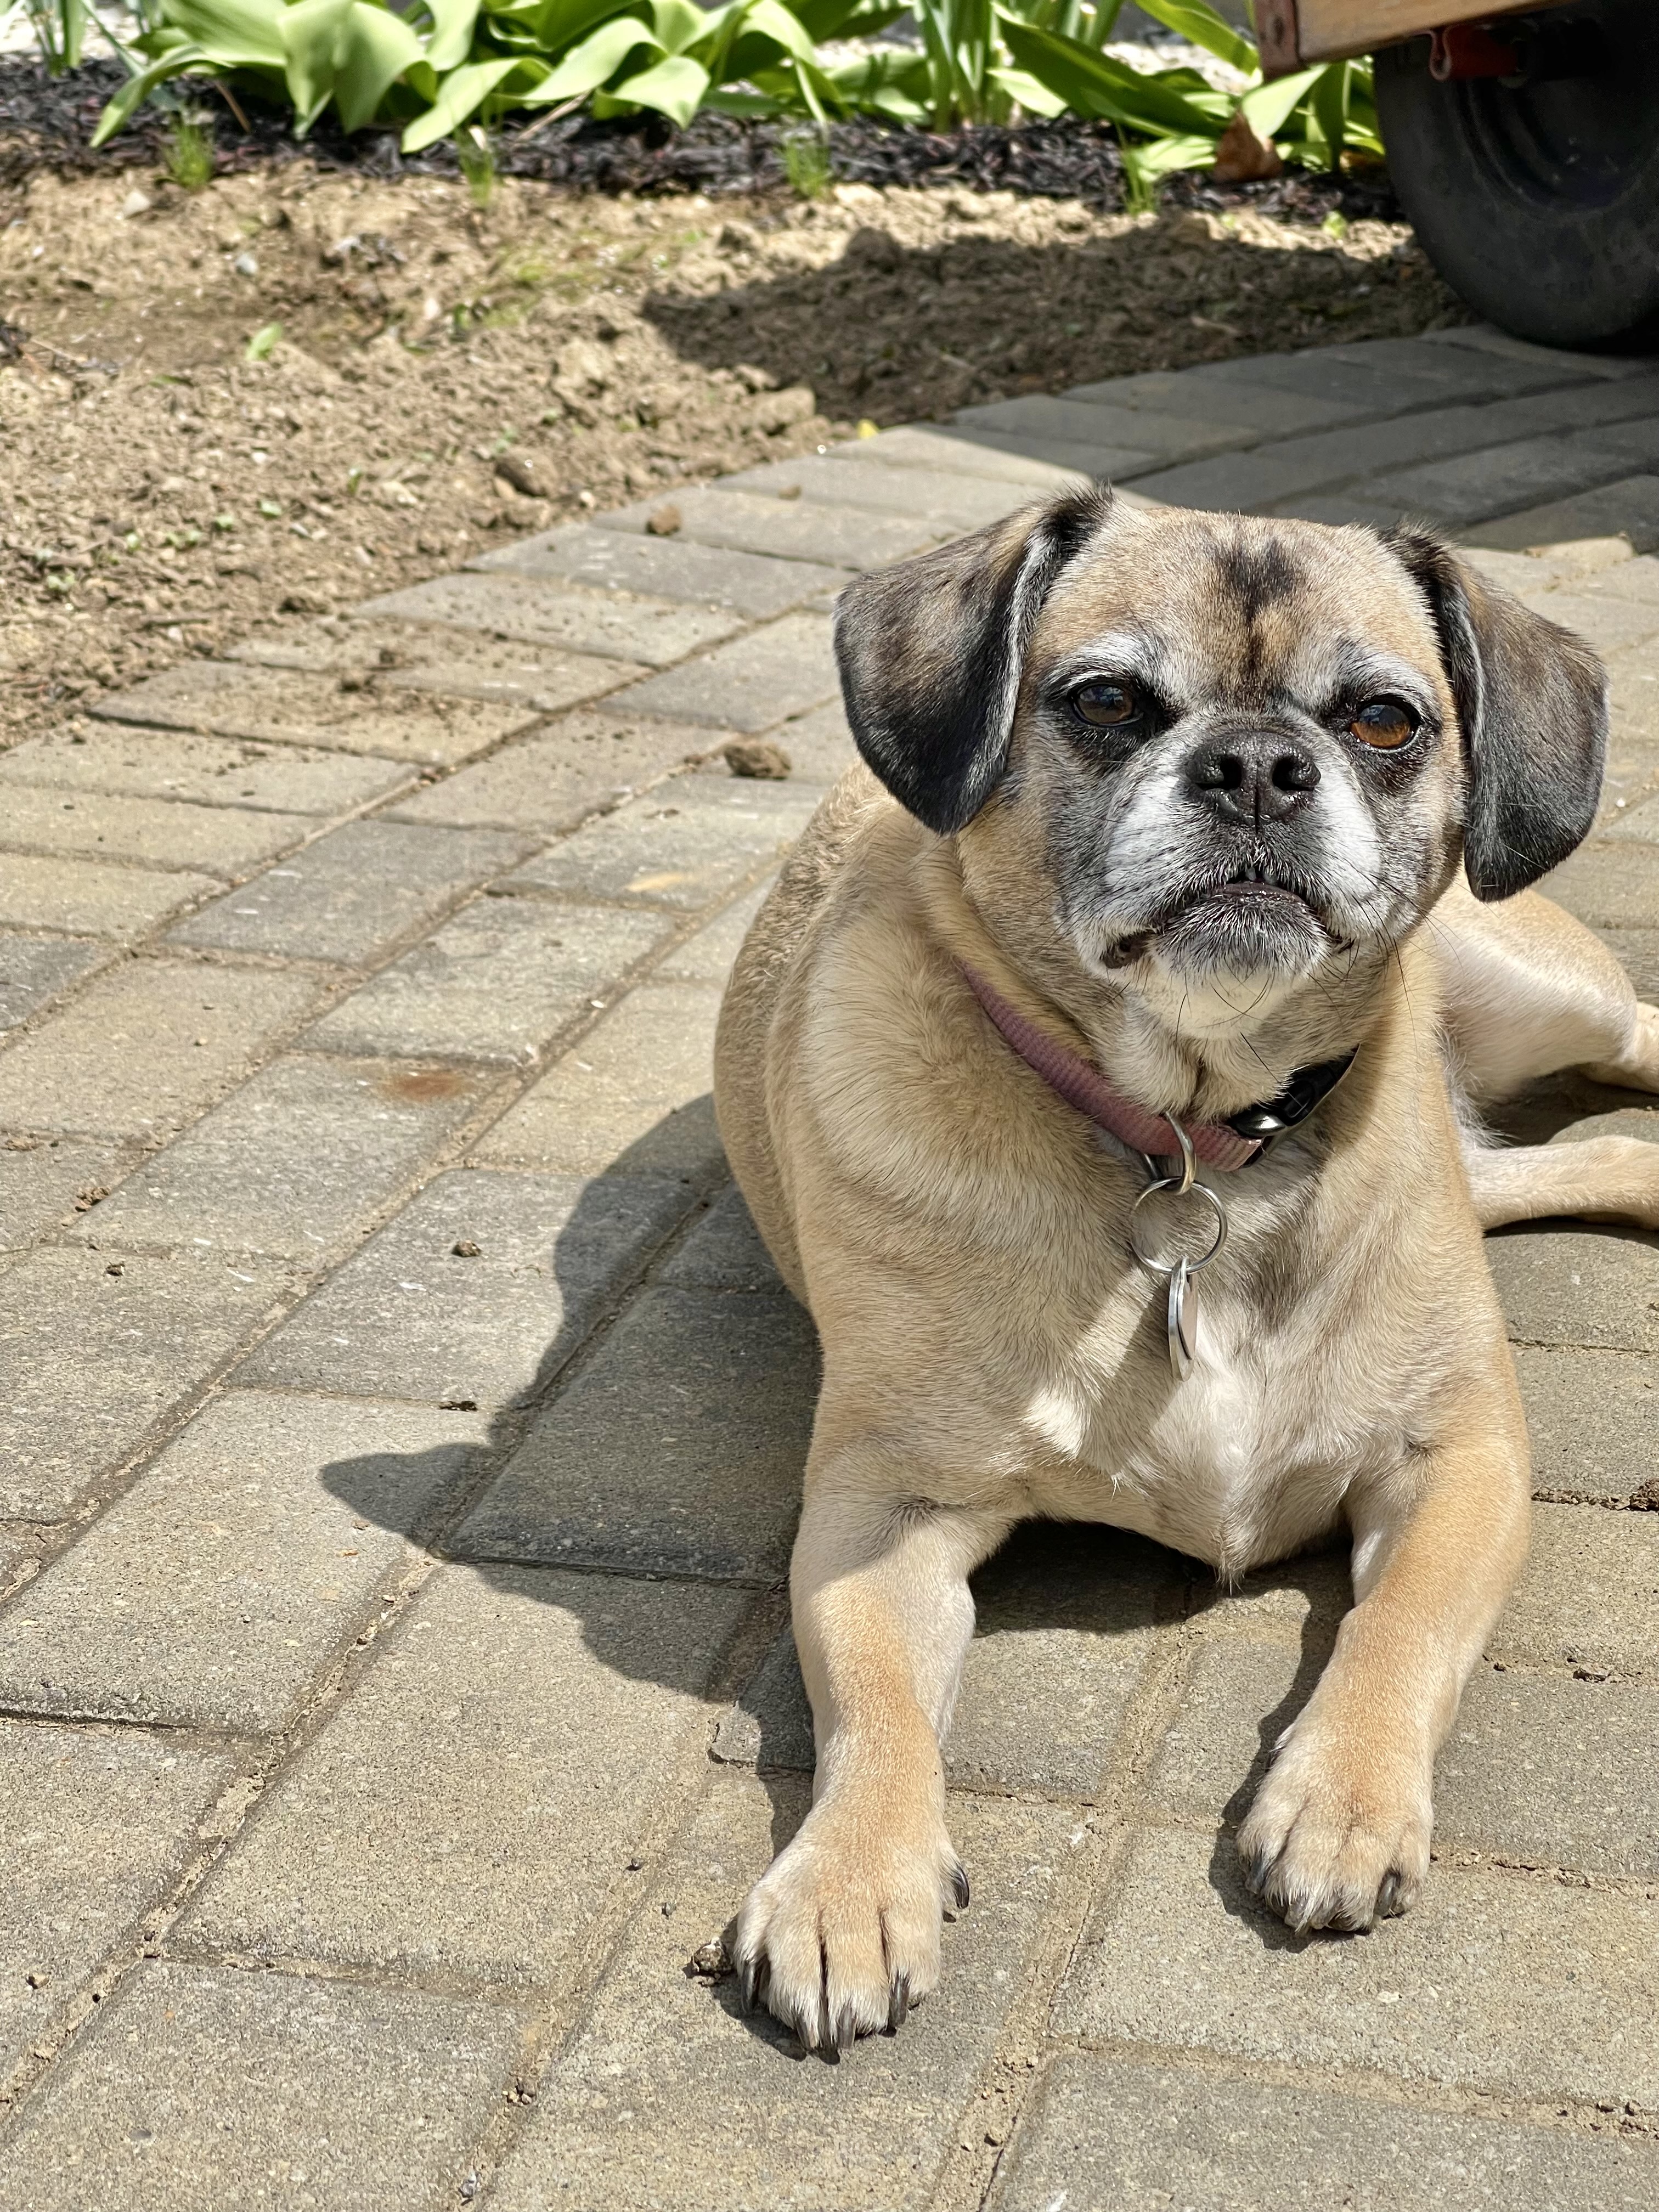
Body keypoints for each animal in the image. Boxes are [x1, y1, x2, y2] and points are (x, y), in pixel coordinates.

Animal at [712, 487, 1659, 2052]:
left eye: (1386, 721)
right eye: (1103, 702)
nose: (1260, 764)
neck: (1202, 1141)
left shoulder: (1460, 1459)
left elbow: (1399, 1628)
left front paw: (1340, 1795)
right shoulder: (878, 1512)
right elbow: (876, 1707)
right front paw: (849, 1878)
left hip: (1549, 997)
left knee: (1642, 1039)